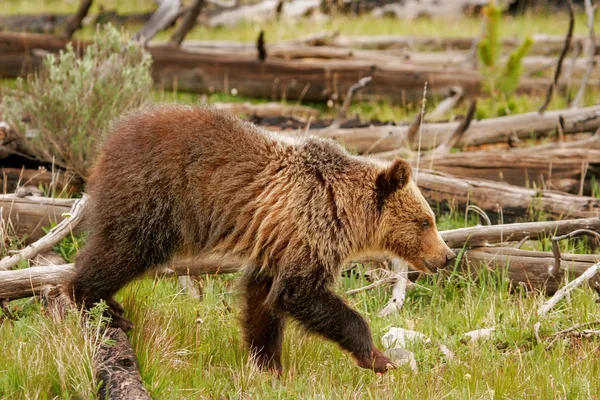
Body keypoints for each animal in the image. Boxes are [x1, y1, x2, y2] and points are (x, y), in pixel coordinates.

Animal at [68, 104, 454, 374]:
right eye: (425, 221)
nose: (447, 255)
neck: (344, 210)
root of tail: (111, 136)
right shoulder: (309, 227)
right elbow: (302, 292)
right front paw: (378, 358)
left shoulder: (277, 242)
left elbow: (263, 300)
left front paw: (268, 364)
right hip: (154, 195)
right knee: (125, 249)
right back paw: (96, 301)